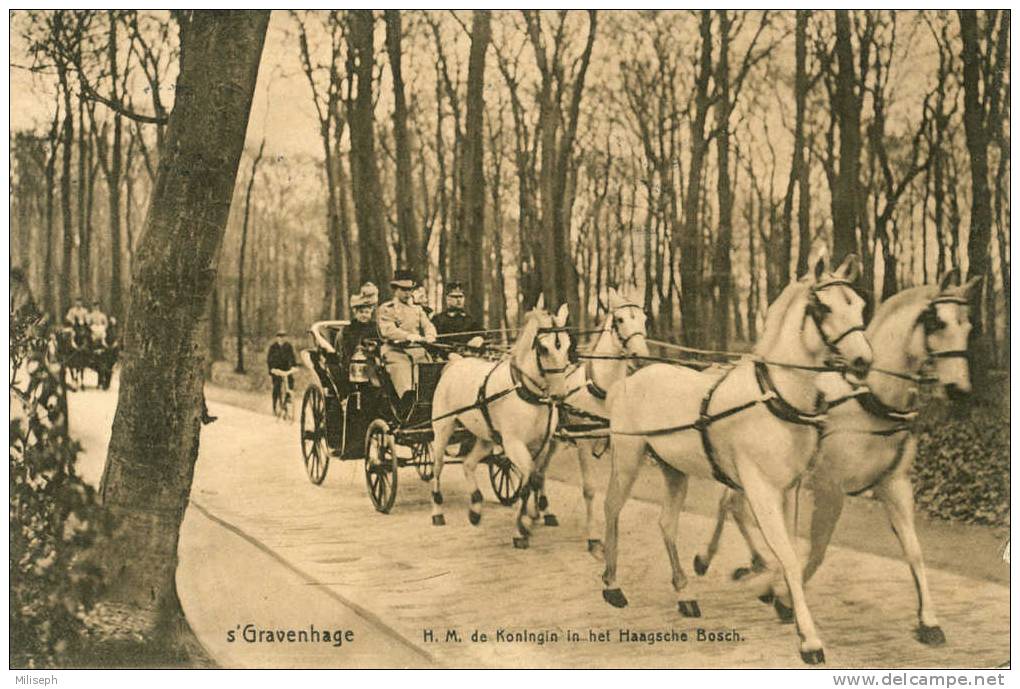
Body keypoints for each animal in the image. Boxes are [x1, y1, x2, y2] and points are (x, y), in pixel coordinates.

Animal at [428, 296, 575, 551]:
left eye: (566, 345)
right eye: (543, 348)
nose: (559, 394)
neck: (526, 392)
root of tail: (455, 361)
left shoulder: (543, 444)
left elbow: (536, 478)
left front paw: (532, 518)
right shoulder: (513, 444)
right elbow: (528, 478)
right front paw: (521, 529)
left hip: (485, 437)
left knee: (468, 464)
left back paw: (476, 509)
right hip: (443, 429)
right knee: (438, 467)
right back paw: (438, 511)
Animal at [554, 287, 648, 555]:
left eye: (644, 319)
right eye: (620, 320)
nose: (642, 357)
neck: (603, 391)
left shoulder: (615, 442)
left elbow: (614, 491)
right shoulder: (583, 442)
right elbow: (589, 489)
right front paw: (594, 538)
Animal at [599, 251, 873, 665]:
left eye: (856, 304)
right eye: (822, 307)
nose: (862, 361)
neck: (774, 396)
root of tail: (629, 381)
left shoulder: (788, 489)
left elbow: (790, 552)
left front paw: (778, 597)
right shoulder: (760, 489)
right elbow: (784, 554)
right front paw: (808, 638)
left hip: (674, 469)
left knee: (667, 524)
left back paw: (685, 594)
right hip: (627, 457)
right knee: (613, 508)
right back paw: (612, 584)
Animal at [693, 269, 979, 645]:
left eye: (968, 325)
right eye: (937, 322)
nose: (959, 390)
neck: (869, 400)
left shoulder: (895, 484)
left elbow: (914, 550)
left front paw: (928, 620)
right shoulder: (830, 487)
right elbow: (816, 551)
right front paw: (783, 597)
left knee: (733, 505)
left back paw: (752, 562)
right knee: (730, 504)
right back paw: (712, 558)